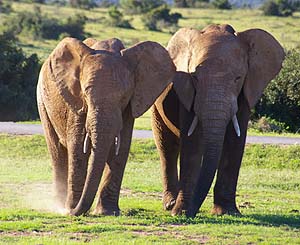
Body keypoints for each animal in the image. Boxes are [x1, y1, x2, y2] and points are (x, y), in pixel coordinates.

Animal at [37, 36, 176, 216]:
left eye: (123, 97)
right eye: (86, 92)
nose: (73, 211)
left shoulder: (129, 106)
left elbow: (122, 147)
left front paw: (107, 213)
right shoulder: (77, 101)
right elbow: (77, 148)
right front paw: (70, 209)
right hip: (42, 99)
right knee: (57, 151)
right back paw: (59, 204)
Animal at [151, 23, 284, 217]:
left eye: (238, 78)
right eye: (194, 77)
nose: (191, 212)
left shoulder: (245, 92)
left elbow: (235, 142)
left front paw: (228, 213)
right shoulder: (188, 93)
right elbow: (192, 144)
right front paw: (180, 212)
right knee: (167, 147)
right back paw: (170, 204)